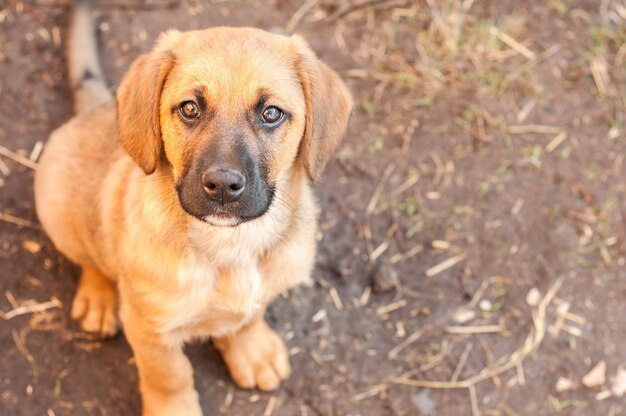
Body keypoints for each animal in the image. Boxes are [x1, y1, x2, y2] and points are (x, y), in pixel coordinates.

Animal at [34, 4, 352, 416]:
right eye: (190, 108)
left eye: (271, 113)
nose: (222, 186)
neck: (231, 245)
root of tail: (99, 107)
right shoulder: (151, 329)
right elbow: (169, 376)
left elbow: (249, 317)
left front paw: (252, 351)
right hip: (55, 204)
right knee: (91, 257)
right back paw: (98, 297)